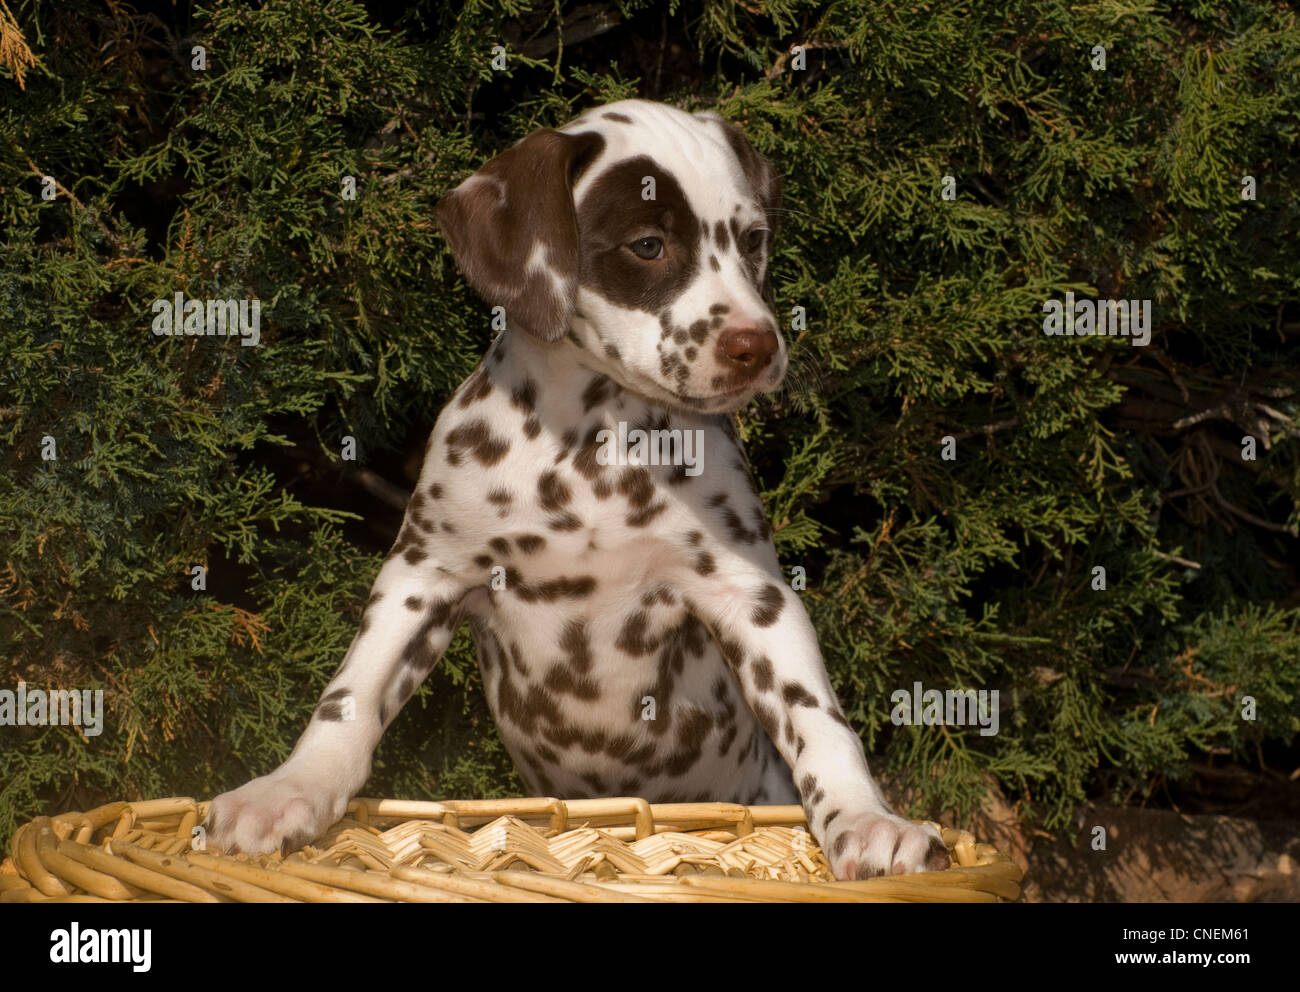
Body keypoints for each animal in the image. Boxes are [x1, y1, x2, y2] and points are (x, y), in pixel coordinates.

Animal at [208, 96, 951, 878]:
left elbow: (818, 716)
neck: (594, 450)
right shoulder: (423, 574)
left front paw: (867, 819)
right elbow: (349, 694)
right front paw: (285, 791)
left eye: (752, 241)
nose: (757, 345)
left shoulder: (752, 595)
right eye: (648, 245)